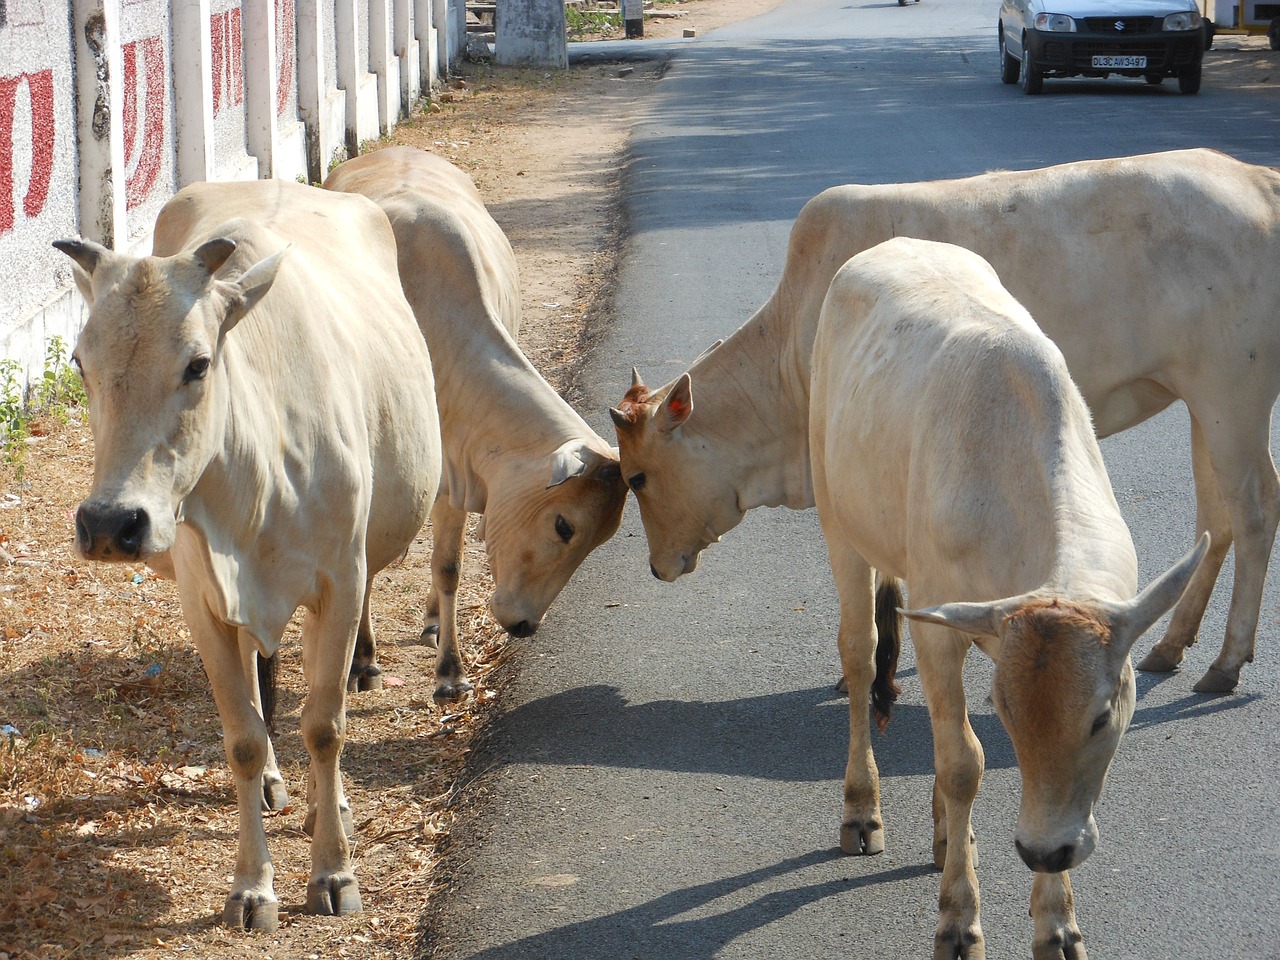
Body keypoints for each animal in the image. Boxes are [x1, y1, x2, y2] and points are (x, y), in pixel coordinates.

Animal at [55, 179, 442, 931]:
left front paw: (333, 872)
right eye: (81, 363)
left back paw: (329, 803)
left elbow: (324, 725)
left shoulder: (342, 583)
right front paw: (253, 887)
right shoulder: (202, 603)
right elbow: (242, 737)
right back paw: (275, 785)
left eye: (198, 364)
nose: (110, 523)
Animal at [322, 152, 627, 706]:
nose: (525, 626)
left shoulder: (454, 473)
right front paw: (363, 661)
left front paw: (449, 670)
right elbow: (367, 564)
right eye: (564, 526)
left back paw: (430, 620)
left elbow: (448, 567)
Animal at [609, 146, 1280, 696]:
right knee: (1216, 519)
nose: (658, 568)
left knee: (1252, 510)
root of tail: (1259, 179)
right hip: (1202, 403)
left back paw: (1225, 662)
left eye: (637, 477)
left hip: (1231, 397)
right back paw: (1169, 645)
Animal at [808, 235, 1208, 960]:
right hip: (838, 524)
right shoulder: (935, 629)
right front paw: (958, 921)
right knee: (860, 657)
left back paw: (948, 838)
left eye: (1102, 718)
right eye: (1010, 713)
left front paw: (1057, 924)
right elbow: (963, 762)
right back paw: (861, 810)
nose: (1045, 849)